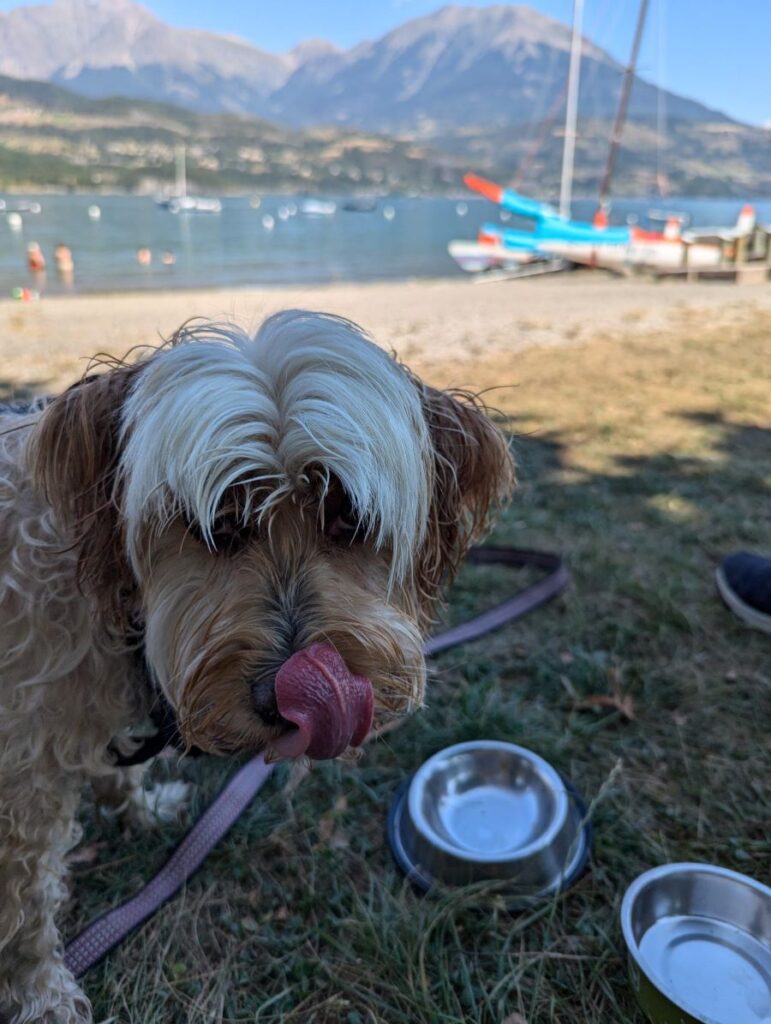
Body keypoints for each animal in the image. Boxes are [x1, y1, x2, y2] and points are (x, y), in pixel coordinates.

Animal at [3, 311, 514, 1024]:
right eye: (215, 524)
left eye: (347, 515)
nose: (286, 699)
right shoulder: (21, 777)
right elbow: (26, 898)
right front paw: (41, 992)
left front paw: (140, 809)